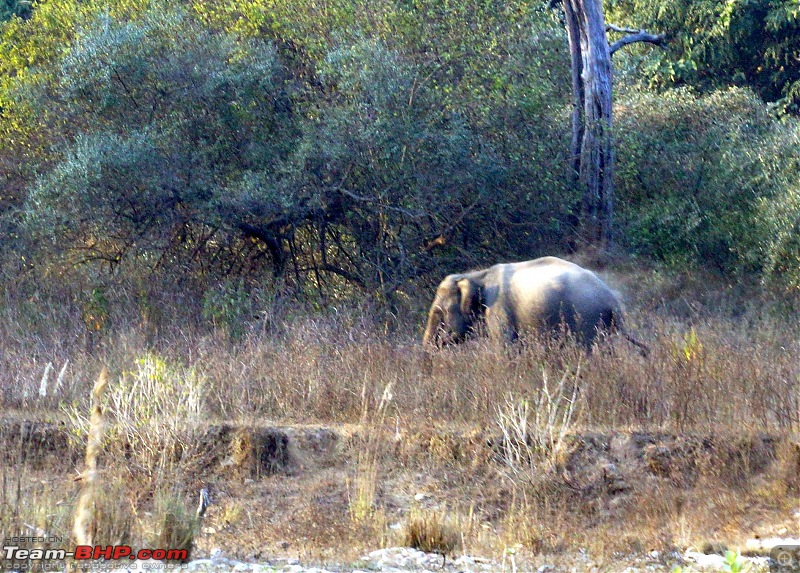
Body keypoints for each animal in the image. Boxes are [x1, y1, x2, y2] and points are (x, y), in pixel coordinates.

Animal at [422, 256, 648, 354]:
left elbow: (505, 346)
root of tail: (612, 298)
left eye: (439, 312)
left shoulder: (498, 309)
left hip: (587, 316)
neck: (477, 275)